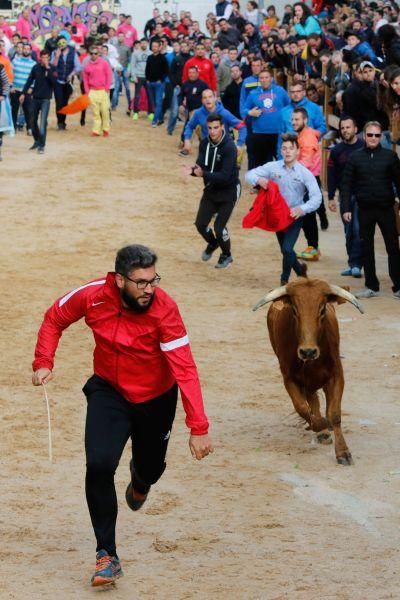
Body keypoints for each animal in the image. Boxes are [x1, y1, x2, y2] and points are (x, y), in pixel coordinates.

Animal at [255, 276, 364, 464]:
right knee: (312, 401)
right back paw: (322, 431)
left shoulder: (337, 375)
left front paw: (343, 452)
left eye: (322, 310)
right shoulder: (289, 378)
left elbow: (335, 413)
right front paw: (321, 426)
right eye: (294, 310)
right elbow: (303, 408)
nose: (308, 351)